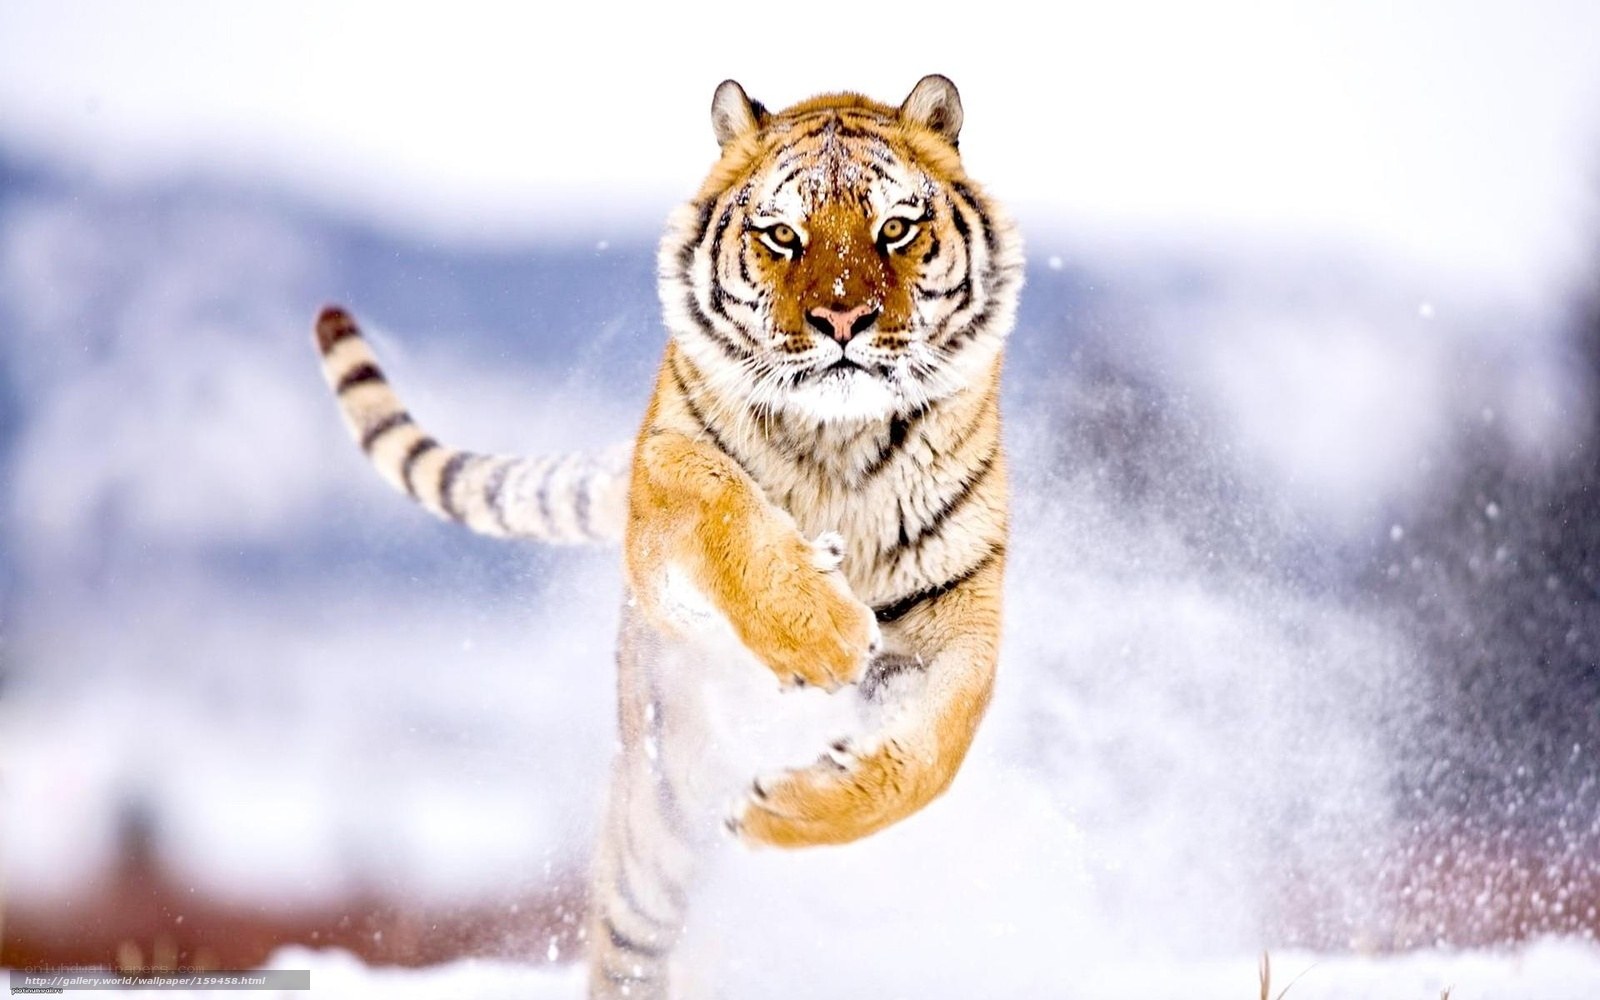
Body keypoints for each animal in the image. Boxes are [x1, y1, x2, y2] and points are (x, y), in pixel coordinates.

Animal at [312, 74, 1023, 998]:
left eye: (895, 228)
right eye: (782, 235)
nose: (842, 321)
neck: (838, 444)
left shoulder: (957, 611)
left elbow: (931, 757)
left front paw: (785, 807)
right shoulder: (664, 498)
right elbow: (720, 503)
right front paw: (822, 631)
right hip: (657, 818)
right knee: (629, 940)